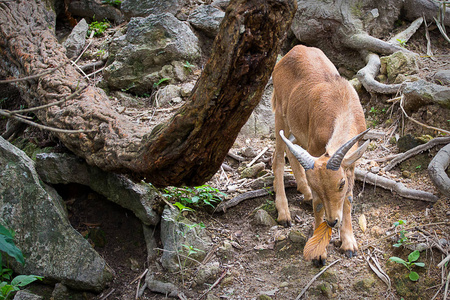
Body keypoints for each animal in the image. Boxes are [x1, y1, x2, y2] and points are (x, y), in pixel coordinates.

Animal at [270, 44, 370, 264]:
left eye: (340, 183)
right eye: (317, 186)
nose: (332, 221)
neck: (342, 103)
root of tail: (291, 51)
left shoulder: (351, 162)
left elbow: (349, 198)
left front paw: (349, 244)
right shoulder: (316, 148)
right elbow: (318, 205)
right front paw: (319, 254)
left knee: (291, 150)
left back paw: (304, 194)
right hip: (280, 115)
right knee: (278, 157)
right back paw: (284, 213)